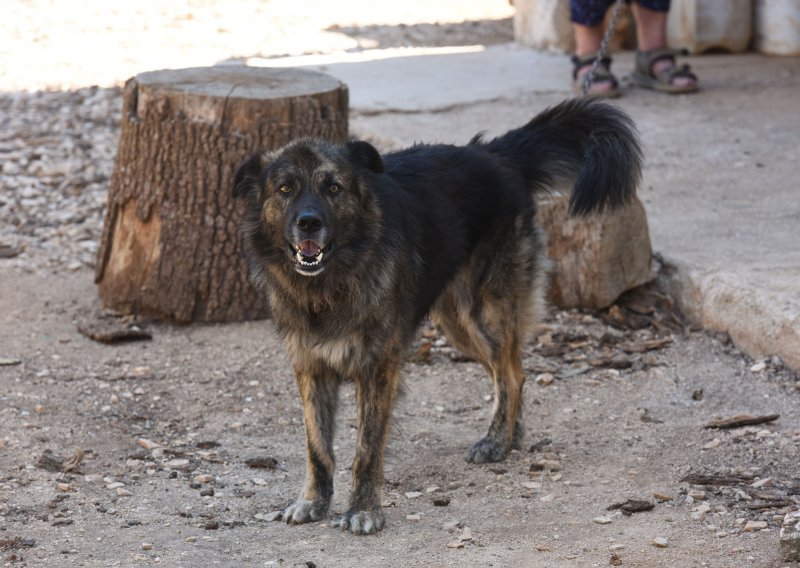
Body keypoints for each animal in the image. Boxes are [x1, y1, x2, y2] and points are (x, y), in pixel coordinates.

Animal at [231, 95, 644, 536]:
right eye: (285, 189)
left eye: (333, 188)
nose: (309, 222)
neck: (330, 285)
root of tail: (493, 154)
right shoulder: (311, 368)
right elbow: (317, 446)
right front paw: (313, 501)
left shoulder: (378, 368)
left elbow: (367, 448)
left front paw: (363, 509)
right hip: (457, 323)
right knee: (509, 371)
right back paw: (512, 434)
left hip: (482, 313)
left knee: (512, 373)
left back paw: (497, 441)